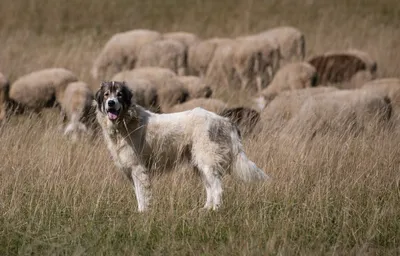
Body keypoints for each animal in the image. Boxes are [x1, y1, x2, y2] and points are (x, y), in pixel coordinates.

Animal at [94, 81, 268, 211]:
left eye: (119, 95)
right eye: (106, 95)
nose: (111, 103)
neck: (125, 122)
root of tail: (224, 120)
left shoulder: (138, 169)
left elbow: (142, 196)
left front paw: (143, 214)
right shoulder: (132, 170)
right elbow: (138, 195)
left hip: (207, 161)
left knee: (217, 188)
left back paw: (215, 211)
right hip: (200, 164)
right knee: (210, 188)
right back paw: (206, 210)